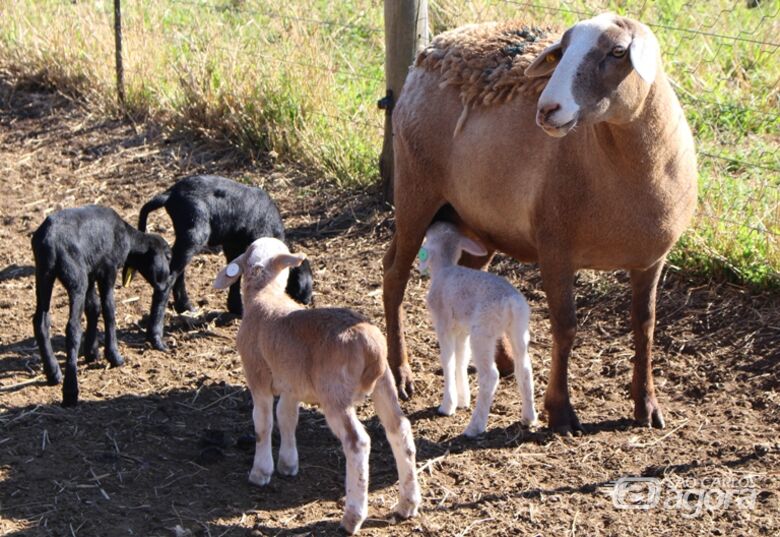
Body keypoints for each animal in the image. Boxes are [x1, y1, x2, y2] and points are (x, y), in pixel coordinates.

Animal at [213, 238, 420, 532]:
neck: (264, 295)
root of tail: (372, 349)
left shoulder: (258, 376)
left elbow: (263, 424)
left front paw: (261, 472)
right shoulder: (292, 385)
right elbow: (287, 418)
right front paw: (288, 464)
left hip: (335, 394)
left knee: (358, 442)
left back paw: (353, 516)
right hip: (384, 384)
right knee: (399, 429)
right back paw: (407, 504)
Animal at [420, 221, 536, 436]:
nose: (435, 221)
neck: (443, 267)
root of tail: (511, 302)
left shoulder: (443, 323)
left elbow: (448, 360)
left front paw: (447, 406)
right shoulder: (461, 330)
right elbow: (461, 359)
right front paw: (463, 400)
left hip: (483, 332)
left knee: (490, 376)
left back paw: (474, 427)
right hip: (519, 328)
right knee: (524, 368)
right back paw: (529, 417)